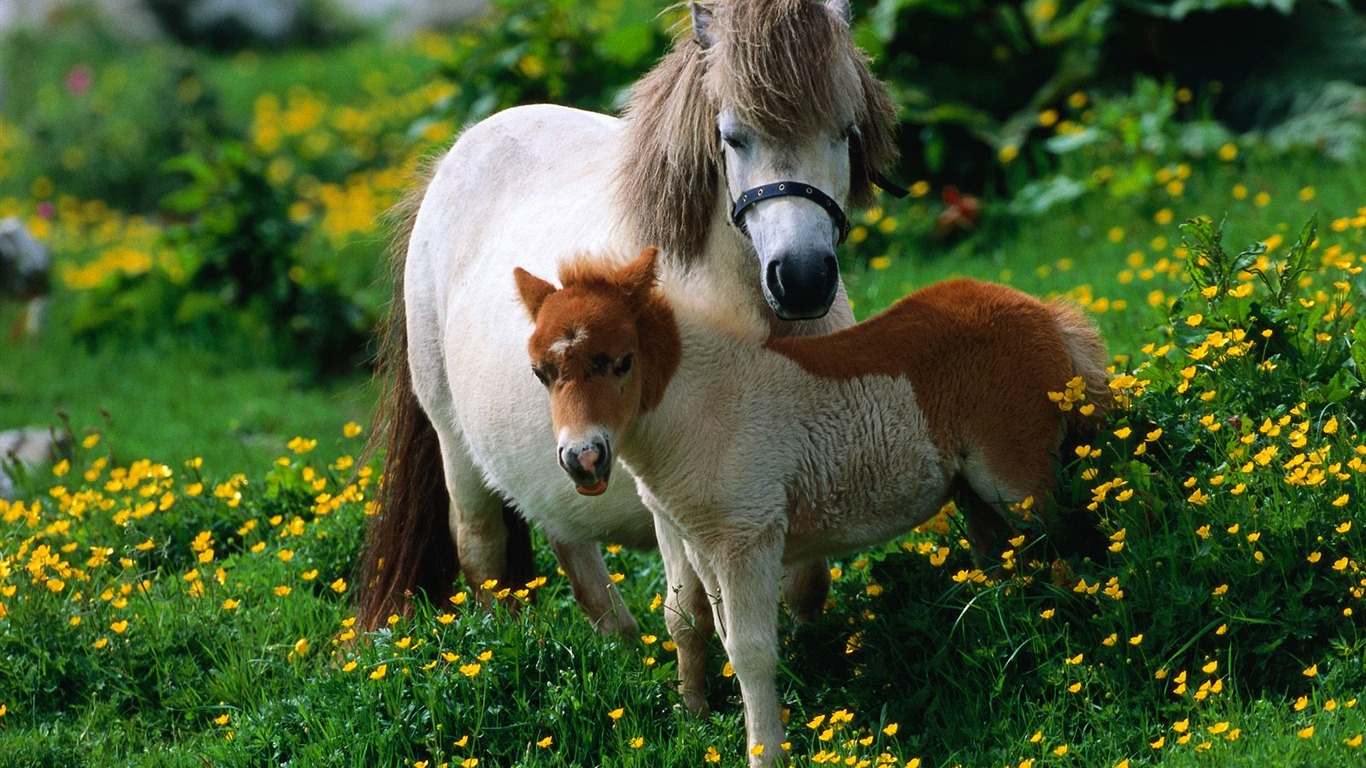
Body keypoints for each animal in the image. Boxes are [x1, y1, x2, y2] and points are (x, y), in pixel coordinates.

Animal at [357, 0, 901, 631]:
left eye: (846, 131)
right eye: (733, 138)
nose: (803, 277)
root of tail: (451, 160)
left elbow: (807, 585)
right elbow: (701, 610)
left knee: (567, 537)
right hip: (455, 444)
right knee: (483, 550)